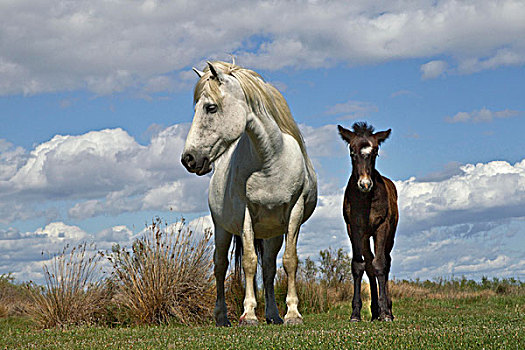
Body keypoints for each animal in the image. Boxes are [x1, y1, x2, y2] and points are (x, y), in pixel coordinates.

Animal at [180, 61, 318, 326]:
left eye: (210, 107)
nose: (189, 159)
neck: (271, 161)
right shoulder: (245, 215)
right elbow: (249, 263)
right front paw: (250, 314)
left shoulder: (294, 212)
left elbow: (289, 261)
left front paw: (292, 313)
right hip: (222, 229)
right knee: (220, 266)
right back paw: (222, 317)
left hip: (273, 234)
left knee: (270, 268)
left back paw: (274, 315)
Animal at [340, 123, 398, 322]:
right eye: (352, 152)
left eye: (375, 152)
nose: (365, 184)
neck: (365, 199)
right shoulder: (354, 229)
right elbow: (359, 266)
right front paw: (355, 314)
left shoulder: (382, 226)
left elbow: (380, 264)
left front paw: (385, 313)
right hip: (365, 237)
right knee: (369, 263)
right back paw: (374, 312)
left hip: (389, 235)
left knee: (385, 262)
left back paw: (386, 309)